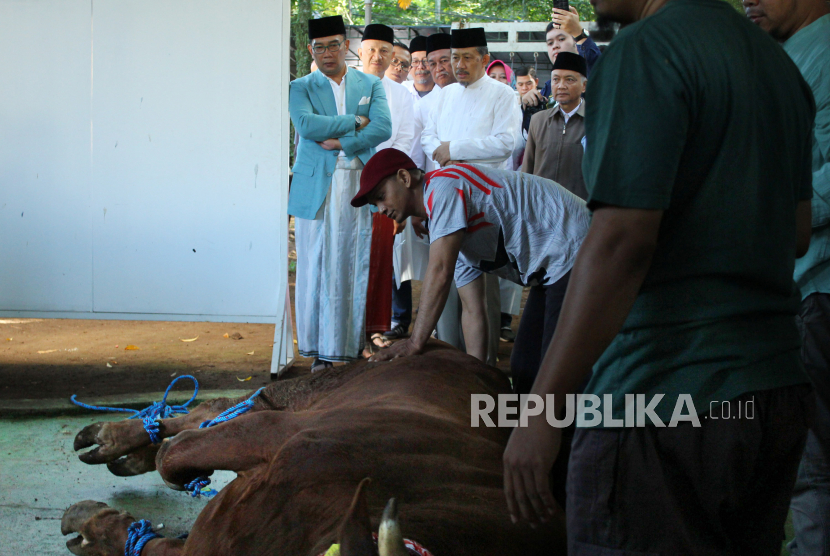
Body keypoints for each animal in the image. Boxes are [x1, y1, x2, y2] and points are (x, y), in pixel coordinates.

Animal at [63, 344, 564, 556]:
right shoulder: (276, 433)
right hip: (319, 387)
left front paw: (95, 529)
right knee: (220, 409)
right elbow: (176, 455)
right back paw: (115, 439)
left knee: (217, 411)